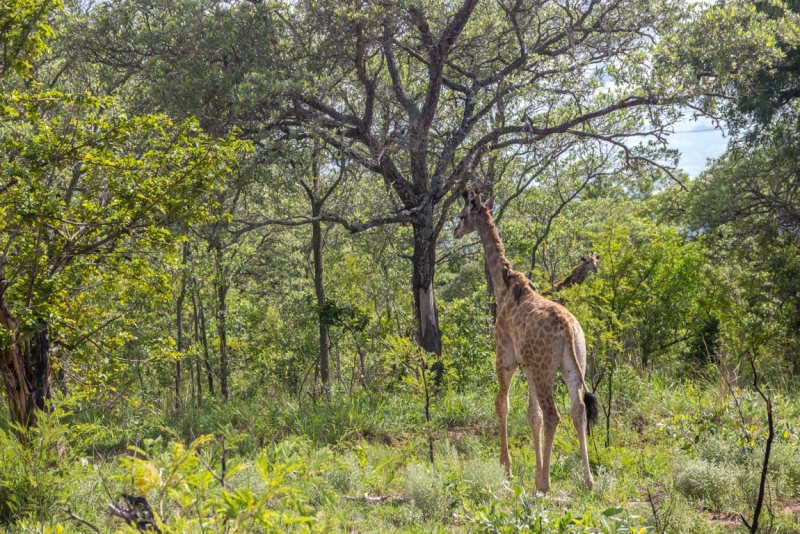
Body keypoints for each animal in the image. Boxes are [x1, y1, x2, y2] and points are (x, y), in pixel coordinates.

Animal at [454, 192, 596, 494]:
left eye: (461, 216)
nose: (455, 232)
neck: (504, 284)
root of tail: (568, 329)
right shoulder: (528, 368)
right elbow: (533, 415)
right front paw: (534, 469)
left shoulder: (505, 357)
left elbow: (502, 404)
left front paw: (507, 468)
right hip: (573, 365)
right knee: (577, 410)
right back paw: (588, 479)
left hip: (545, 371)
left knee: (554, 413)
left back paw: (545, 485)